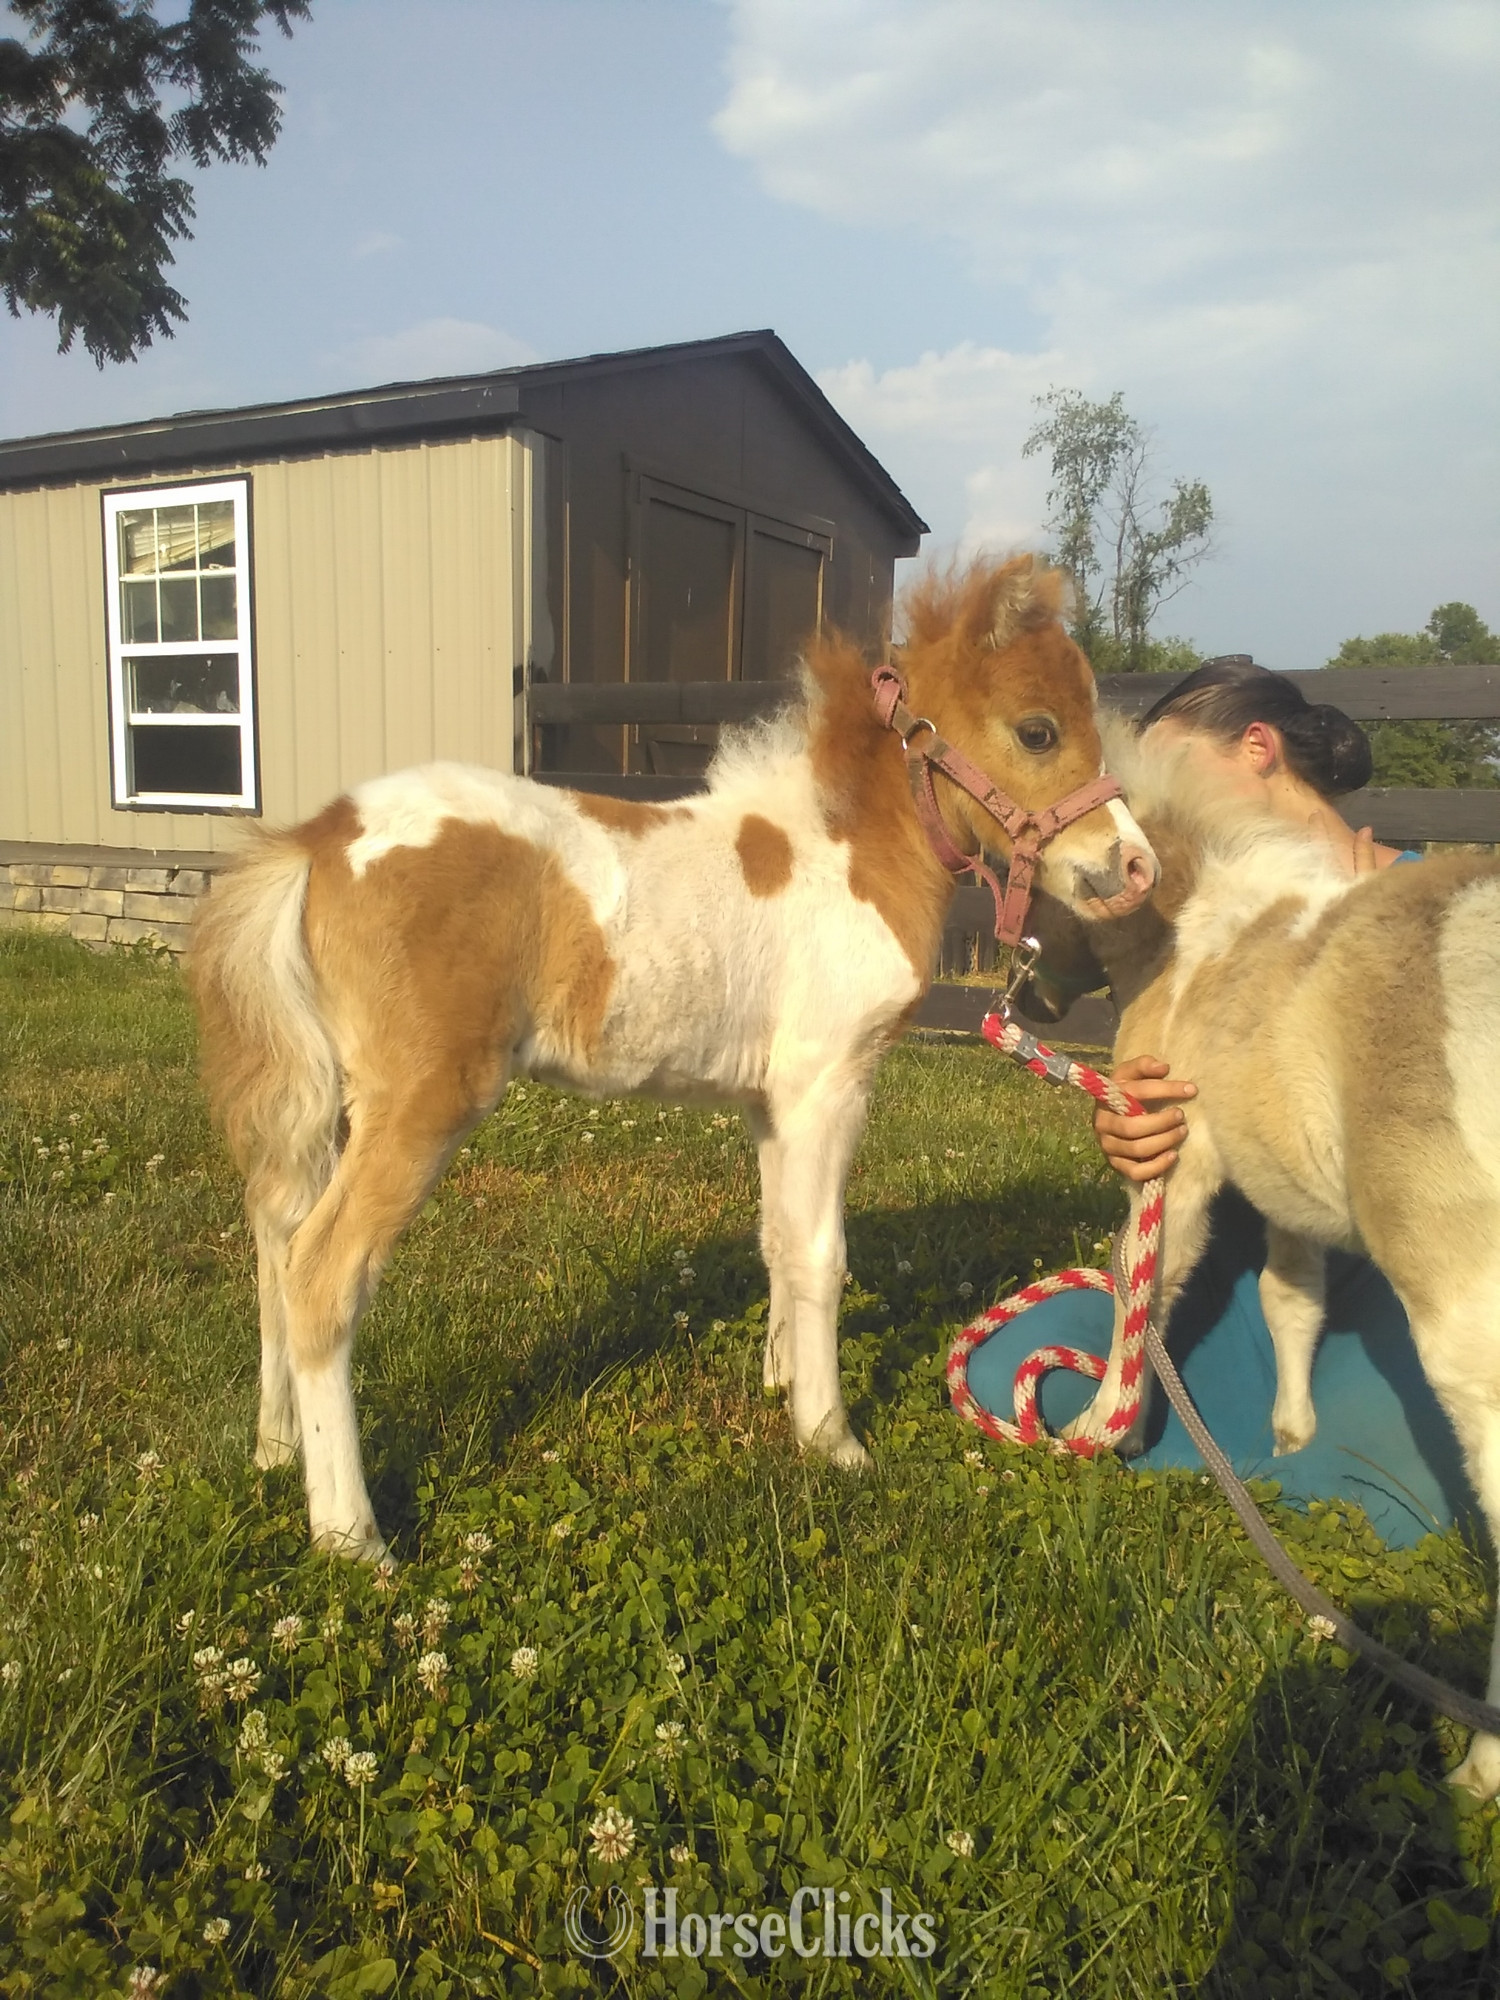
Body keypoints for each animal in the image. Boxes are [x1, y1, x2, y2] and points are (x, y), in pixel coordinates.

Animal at [189, 553, 1157, 1563]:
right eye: (1038, 730)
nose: (1136, 868)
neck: (844, 851)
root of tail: (320, 839)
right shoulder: (829, 1085)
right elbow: (822, 1253)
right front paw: (831, 1438)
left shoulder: (771, 1101)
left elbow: (778, 1239)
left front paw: (780, 1384)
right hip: (423, 1101)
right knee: (321, 1272)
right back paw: (352, 1537)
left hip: (336, 1102)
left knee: (275, 1239)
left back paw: (275, 1451)